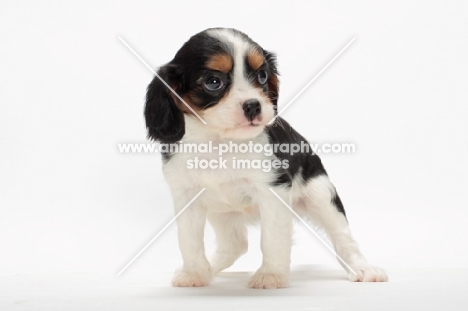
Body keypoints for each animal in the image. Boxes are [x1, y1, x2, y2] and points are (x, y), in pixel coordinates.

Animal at [145, 28, 388, 288]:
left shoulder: (273, 191)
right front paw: (194, 273)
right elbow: (188, 240)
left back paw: (363, 268)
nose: (253, 105)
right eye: (213, 82)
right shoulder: (187, 197)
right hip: (222, 213)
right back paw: (211, 268)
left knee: (343, 239)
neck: (219, 141)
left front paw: (270, 275)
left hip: (321, 196)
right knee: (235, 245)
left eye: (262, 76)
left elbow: (272, 239)